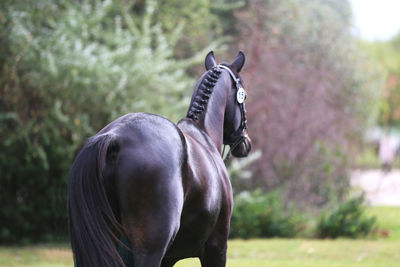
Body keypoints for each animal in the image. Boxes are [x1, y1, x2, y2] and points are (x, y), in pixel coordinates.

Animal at [67, 51, 252, 266]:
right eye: (244, 94)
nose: (246, 143)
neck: (203, 133)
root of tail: (114, 137)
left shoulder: (169, 257)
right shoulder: (216, 248)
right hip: (151, 250)